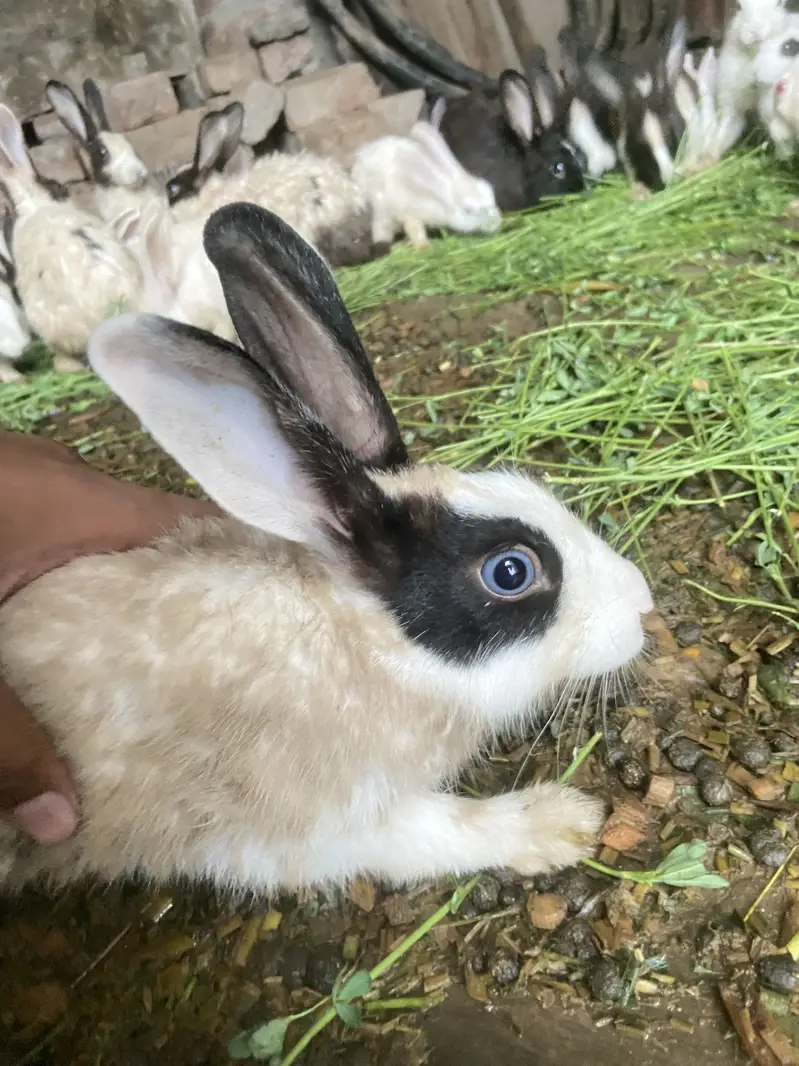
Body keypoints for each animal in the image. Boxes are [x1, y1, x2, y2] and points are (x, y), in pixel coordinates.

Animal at [0, 201, 653, 894]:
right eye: (510, 571)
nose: (642, 603)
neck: (364, 646)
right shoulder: (310, 827)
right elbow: (441, 831)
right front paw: (563, 821)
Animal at [350, 120, 501, 249]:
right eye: (468, 210)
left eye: (492, 197)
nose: (497, 222)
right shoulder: (408, 213)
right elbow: (415, 230)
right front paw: (424, 247)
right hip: (380, 206)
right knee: (381, 226)